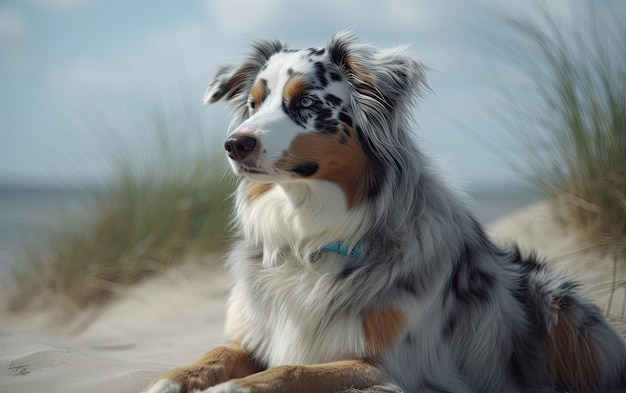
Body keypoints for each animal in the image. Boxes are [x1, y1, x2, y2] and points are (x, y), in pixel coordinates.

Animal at [146, 32, 624, 390]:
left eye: (307, 103)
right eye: (253, 103)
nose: (234, 145)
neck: (309, 234)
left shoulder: (391, 368)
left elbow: (291, 370)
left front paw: (234, 387)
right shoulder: (252, 335)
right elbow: (216, 353)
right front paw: (174, 378)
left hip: (559, 303)